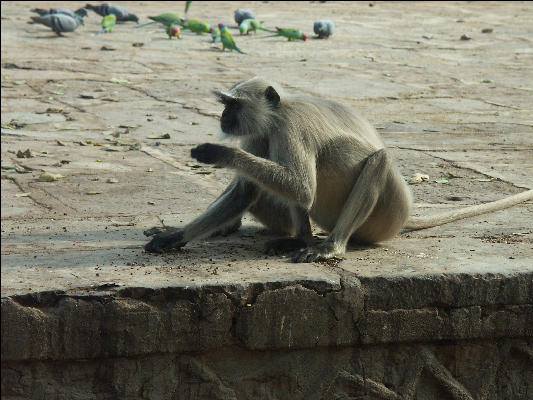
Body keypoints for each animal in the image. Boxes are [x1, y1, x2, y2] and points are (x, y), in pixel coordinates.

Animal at [143, 77, 532, 262]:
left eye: (233, 105)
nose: (223, 117)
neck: (278, 113)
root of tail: (407, 215)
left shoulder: (290, 127)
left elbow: (301, 188)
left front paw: (219, 153)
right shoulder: (261, 132)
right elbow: (247, 190)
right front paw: (174, 237)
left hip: (387, 215)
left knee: (379, 160)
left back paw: (329, 247)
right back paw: (295, 239)